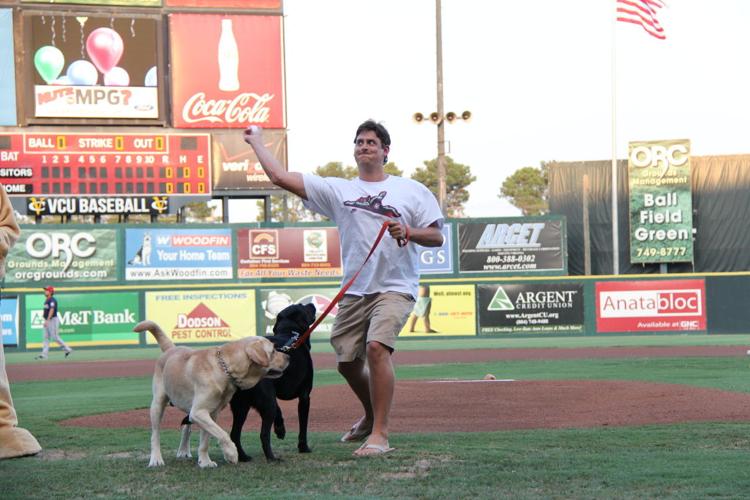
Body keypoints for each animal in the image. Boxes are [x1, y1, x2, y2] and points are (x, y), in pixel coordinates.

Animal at [134, 320, 290, 468]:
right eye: (273, 351)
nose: (288, 357)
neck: (223, 368)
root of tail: (171, 349)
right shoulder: (199, 412)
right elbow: (222, 433)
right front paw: (231, 453)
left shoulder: (211, 413)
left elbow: (205, 440)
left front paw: (204, 462)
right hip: (158, 404)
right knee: (155, 435)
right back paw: (156, 459)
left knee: (186, 427)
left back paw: (183, 450)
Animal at [182, 300, 318, 460]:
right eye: (303, 306)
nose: (311, 303)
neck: (290, 333)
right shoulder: (304, 396)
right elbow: (303, 425)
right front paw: (303, 447)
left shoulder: (271, 396)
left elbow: (279, 410)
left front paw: (280, 428)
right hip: (259, 405)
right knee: (263, 434)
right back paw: (272, 458)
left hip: (241, 407)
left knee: (234, 434)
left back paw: (243, 457)